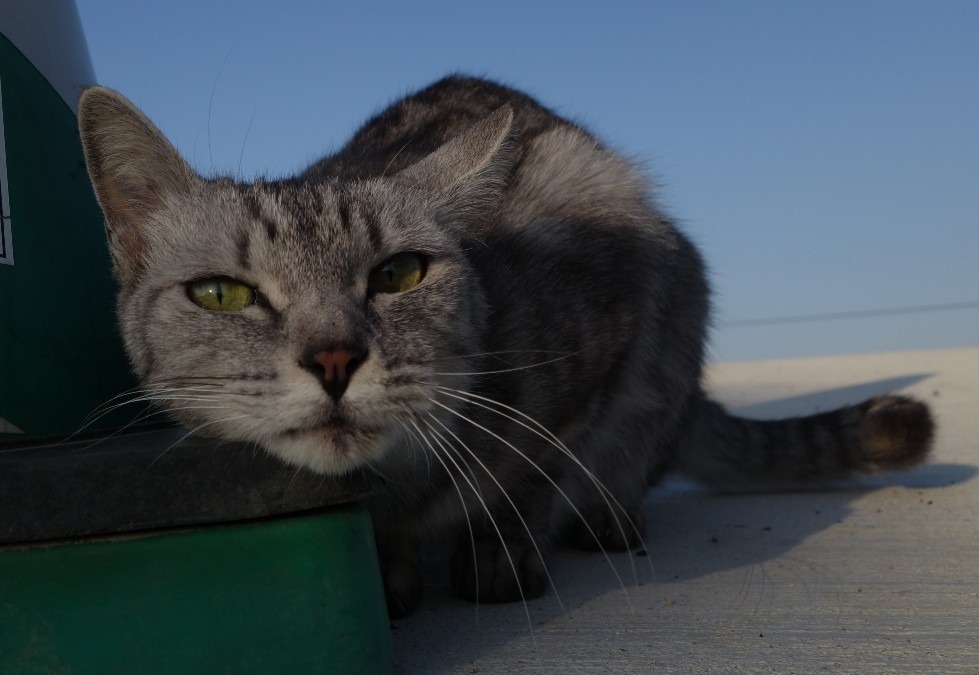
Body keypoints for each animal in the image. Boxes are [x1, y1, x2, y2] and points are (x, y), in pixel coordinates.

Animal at [78, 75, 936, 616]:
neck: (394, 483)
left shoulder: (599, 340)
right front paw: (392, 569)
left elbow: (529, 470)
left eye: (397, 273)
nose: (334, 359)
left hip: (670, 327)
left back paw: (605, 512)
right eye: (221, 294)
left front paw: (497, 550)